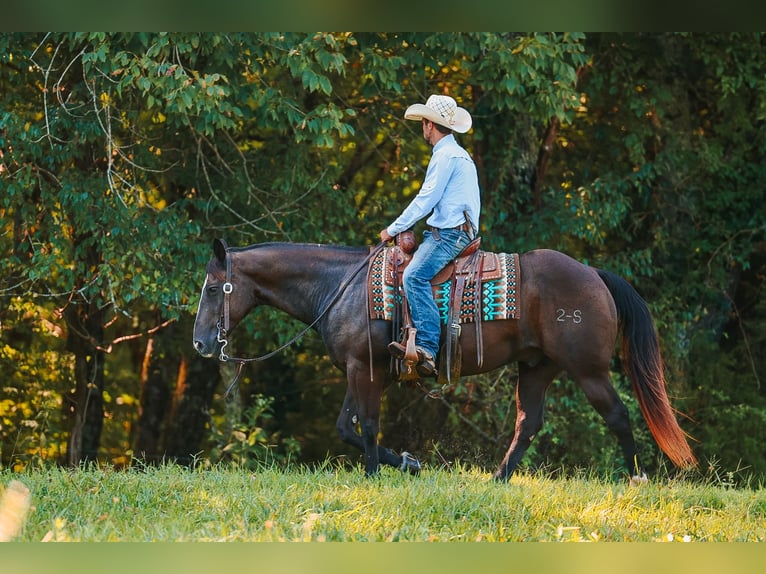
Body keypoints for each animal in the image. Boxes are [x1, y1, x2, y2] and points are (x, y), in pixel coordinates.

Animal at [192, 238, 697, 481]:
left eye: (214, 288)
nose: (199, 344)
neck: (340, 287)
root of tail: (593, 272)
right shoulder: (364, 372)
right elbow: (346, 427)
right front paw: (407, 464)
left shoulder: (364, 370)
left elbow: (366, 426)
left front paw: (375, 474)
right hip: (537, 367)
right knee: (528, 422)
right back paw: (498, 479)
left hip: (588, 369)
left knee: (617, 415)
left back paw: (636, 478)